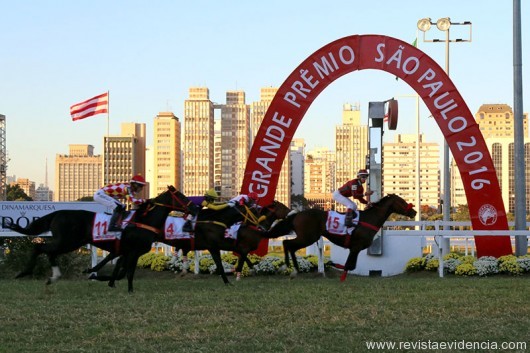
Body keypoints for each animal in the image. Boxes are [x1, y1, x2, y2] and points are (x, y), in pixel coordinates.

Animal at [5, 186, 191, 290]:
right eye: (181, 196)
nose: (193, 206)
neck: (143, 221)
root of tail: (58, 213)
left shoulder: (127, 252)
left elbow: (120, 271)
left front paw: (100, 277)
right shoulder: (133, 251)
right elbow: (127, 272)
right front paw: (128, 290)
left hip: (68, 242)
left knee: (49, 252)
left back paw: (53, 277)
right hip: (68, 242)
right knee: (41, 248)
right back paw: (26, 272)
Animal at [262, 192, 414, 280]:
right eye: (402, 201)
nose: (414, 212)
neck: (369, 219)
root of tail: (297, 214)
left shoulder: (355, 248)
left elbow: (350, 266)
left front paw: (332, 265)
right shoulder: (356, 247)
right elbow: (349, 266)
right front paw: (332, 264)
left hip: (307, 237)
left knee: (288, 245)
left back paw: (293, 268)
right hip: (308, 237)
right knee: (288, 244)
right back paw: (291, 267)